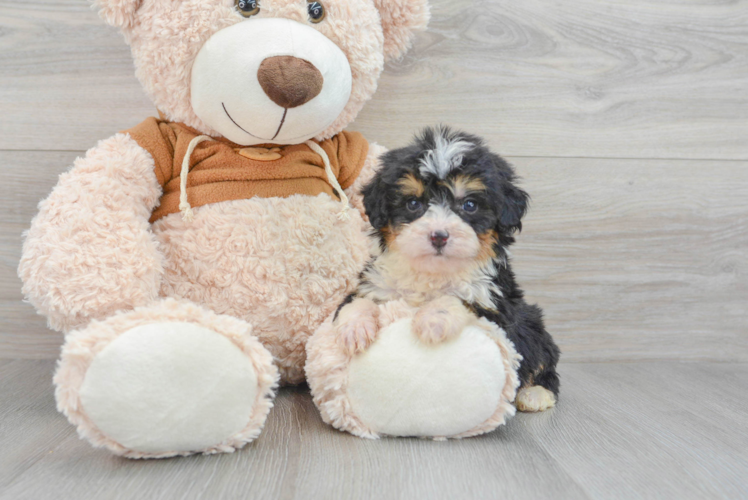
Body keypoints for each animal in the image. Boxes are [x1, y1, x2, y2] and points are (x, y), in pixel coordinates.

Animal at [334, 127, 560, 412]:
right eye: (413, 203)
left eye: (470, 205)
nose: (438, 236)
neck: (433, 273)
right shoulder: (375, 284)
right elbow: (357, 301)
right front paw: (353, 329)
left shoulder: (498, 308)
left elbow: (463, 299)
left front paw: (433, 318)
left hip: (532, 323)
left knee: (545, 361)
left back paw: (536, 394)